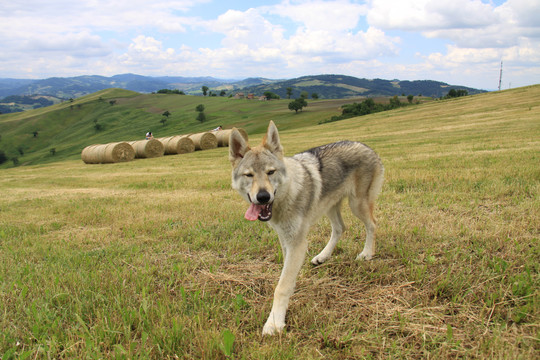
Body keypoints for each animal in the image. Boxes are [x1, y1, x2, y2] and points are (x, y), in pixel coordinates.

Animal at [228, 121, 384, 334]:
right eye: (249, 175)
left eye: (270, 172)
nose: (263, 197)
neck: (285, 197)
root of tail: (367, 147)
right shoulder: (285, 240)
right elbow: (286, 277)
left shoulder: (298, 243)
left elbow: (281, 286)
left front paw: (274, 322)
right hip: (331, 207)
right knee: (340, 228)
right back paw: (322, 257)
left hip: (357, 205)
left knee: (372, 225)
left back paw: (367, 253)